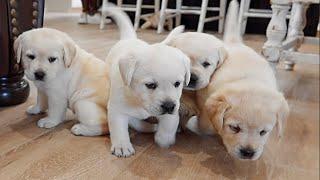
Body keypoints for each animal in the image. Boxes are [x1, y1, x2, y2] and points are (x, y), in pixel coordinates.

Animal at [105, 5, 190, 158]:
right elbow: (119, 128)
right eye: (150, 85)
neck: (138, 100)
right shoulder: (117, 109)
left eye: (177, 84)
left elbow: (170, 123)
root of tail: (130, 39)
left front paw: (164, 139)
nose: (169, 106)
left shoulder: (173, 108)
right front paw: (122, 146)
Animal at [188, 0, 290, 160]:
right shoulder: (207, 100)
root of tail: (235, 43)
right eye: (234, 128)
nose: (248, 152)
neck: (248, 81)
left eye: (263, 132)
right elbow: (206, 125)